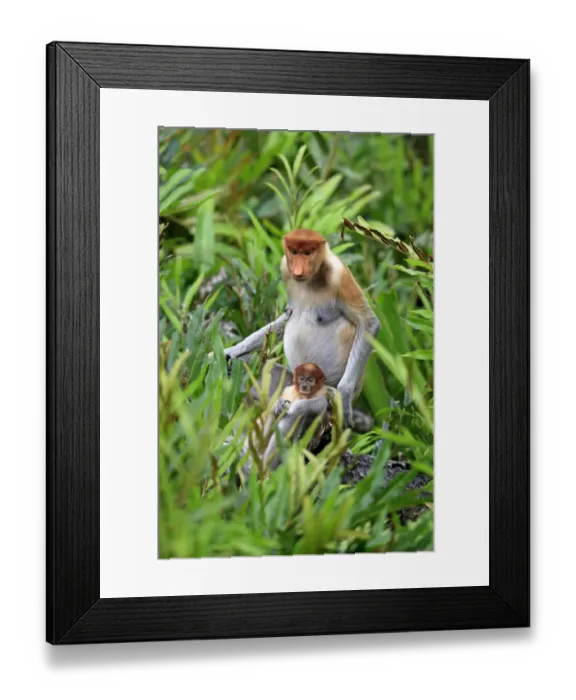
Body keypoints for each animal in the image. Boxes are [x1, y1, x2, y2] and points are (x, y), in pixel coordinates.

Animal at [223, 229, 381, 429]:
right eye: (294, 252)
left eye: (307, 253)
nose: (298, 269)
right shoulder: (285, 267)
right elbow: (286, 315)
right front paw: (231, 351)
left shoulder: (340, 275)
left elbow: (368, 323)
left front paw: (344, 398)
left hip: (323, 394)